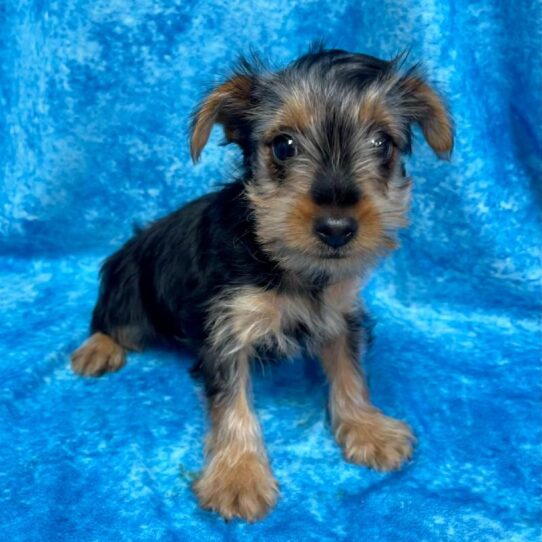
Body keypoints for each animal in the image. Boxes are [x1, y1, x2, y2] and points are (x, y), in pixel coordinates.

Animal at [72, 45, 454, 524]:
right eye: (284, 146)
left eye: (381, 143)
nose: (336, 228)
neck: (289, 264)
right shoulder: (226, 328)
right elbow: (232, 402)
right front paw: (238, 476)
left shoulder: (339, 311)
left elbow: (350, 369)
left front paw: (367, 427)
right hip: (130, 291)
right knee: (110, 321)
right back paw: (96, 349)